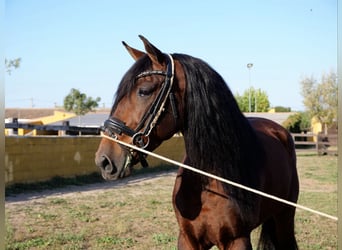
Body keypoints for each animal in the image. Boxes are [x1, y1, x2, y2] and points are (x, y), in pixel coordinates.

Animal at [95, 35, 298, 250]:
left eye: (144, 91)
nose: (104, 160)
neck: (209, 180)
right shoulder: (187, 239)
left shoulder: (238, 240)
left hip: (284, 219)